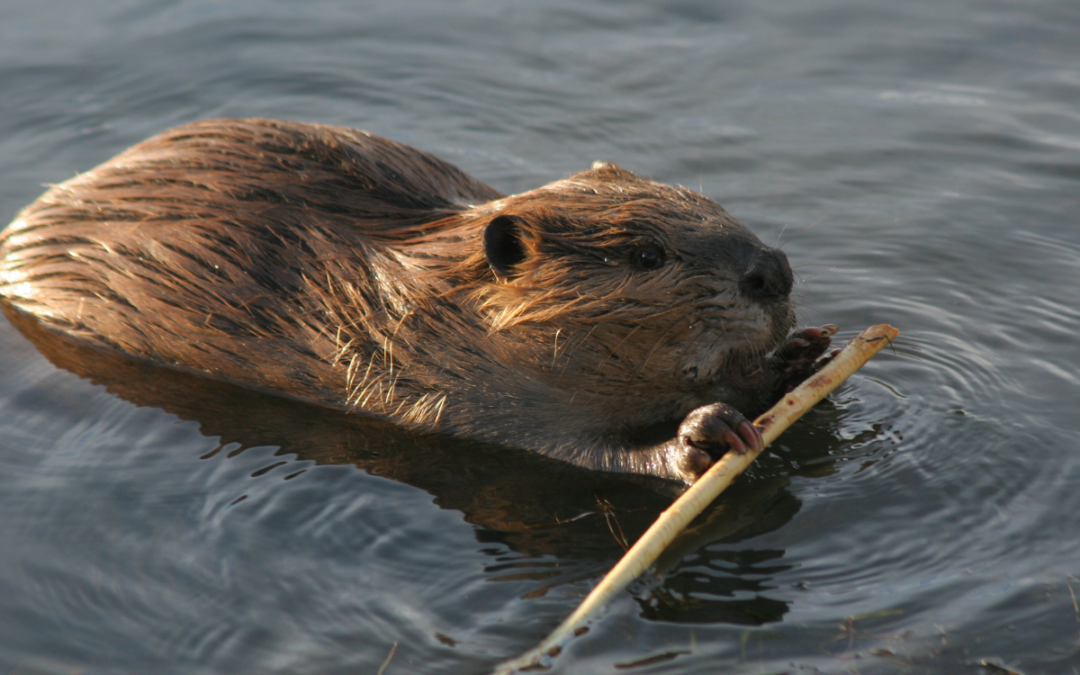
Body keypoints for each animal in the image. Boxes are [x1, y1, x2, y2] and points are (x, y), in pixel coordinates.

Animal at [0, 118, 833, 481]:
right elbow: (570, 450)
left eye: (709, 201)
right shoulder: (447, 385)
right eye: (646, 254)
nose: (774, 271)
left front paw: (802, 354)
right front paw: (703, 435)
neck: (430, 288)